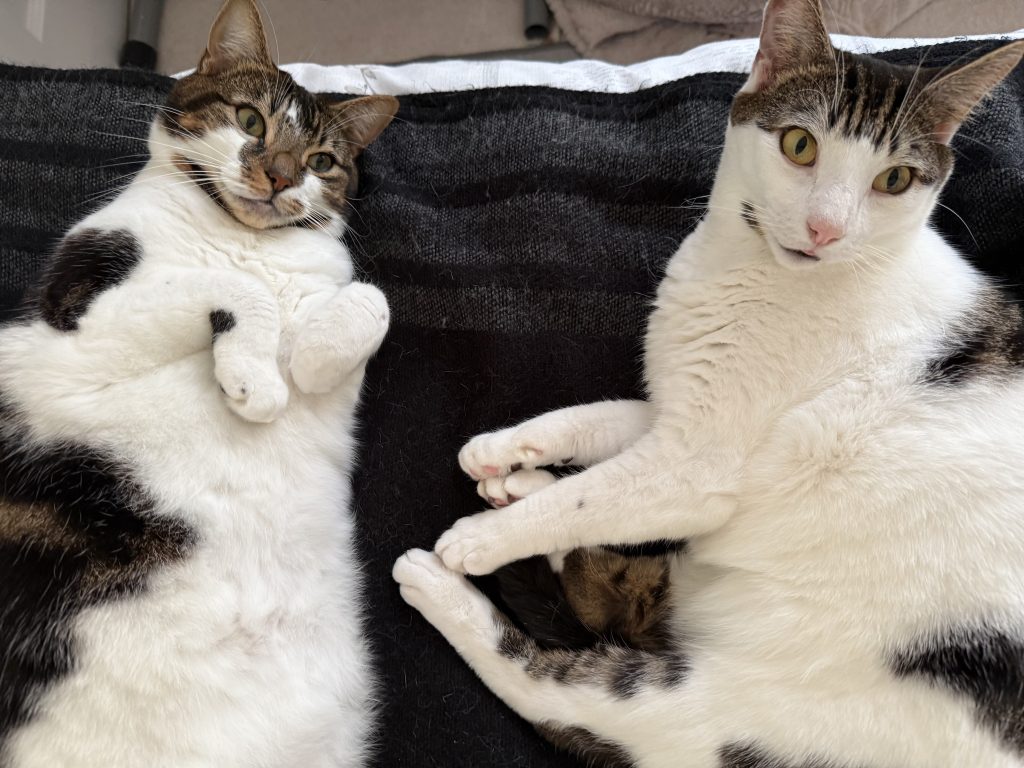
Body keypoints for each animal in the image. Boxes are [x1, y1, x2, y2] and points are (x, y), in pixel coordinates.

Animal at [0, 0, 397, 766]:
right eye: (250, 121)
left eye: (322, 161)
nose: (279, 175)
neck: (244, 238)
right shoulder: (75, 330)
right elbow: (242, 288)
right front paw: (255, 382)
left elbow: (370, 299)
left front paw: (302, 356)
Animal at [393, 0, 1024, 764]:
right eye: (800, 146)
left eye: (894, 181)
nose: (825, 228)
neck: (746, 272)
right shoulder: (683, 407)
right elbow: (603, 425)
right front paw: (507, 449)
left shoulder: (697, 468)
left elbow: (593, 496)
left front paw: (486, 538)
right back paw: (517, 487)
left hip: (720, 706)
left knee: (551, 684)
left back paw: (442, 577)